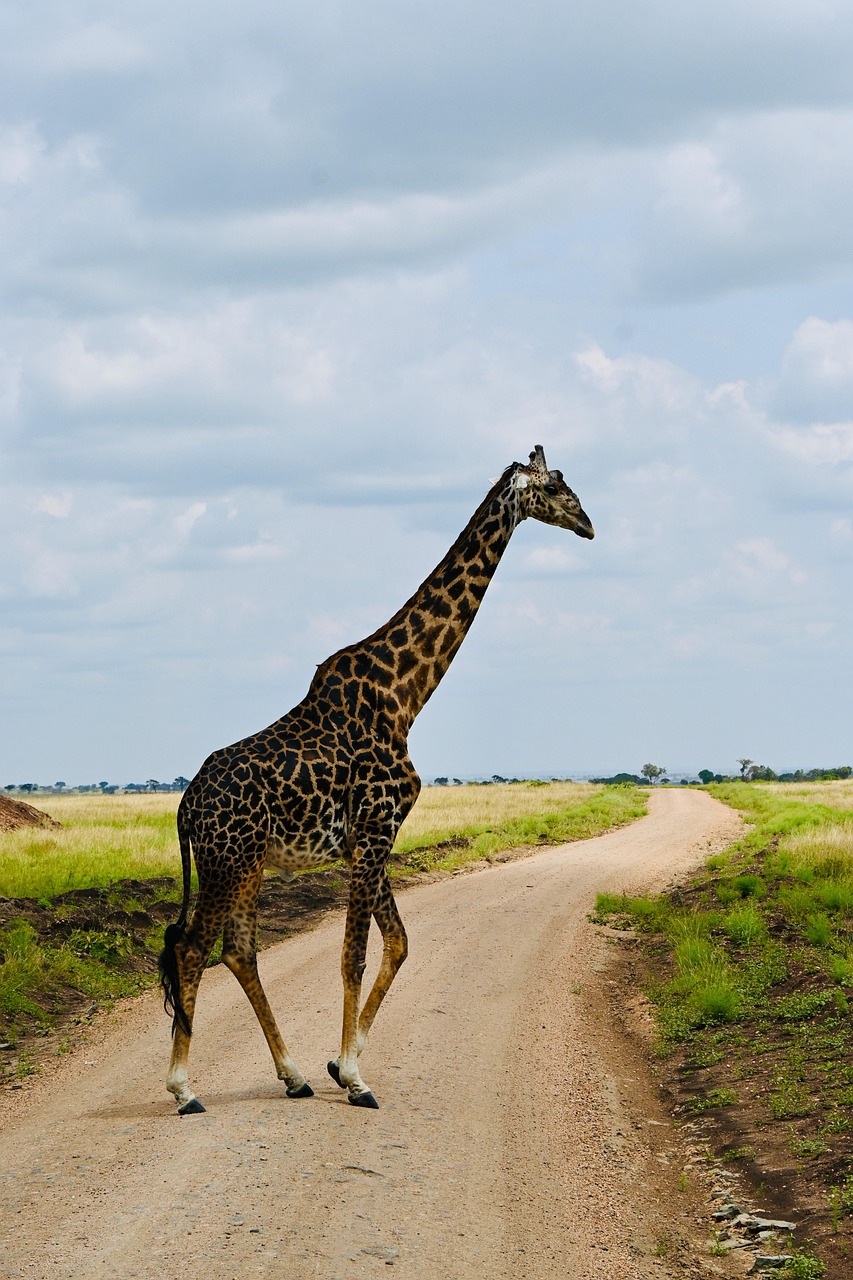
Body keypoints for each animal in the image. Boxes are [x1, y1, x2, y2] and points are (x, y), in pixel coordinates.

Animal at [159, 446, 594, 1113]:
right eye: (556, 488)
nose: (589, 525)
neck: (405, 695)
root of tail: (185, 804)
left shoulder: (369, 839)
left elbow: (398, 943)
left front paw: (339, 1065)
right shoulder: (373, 831)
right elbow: (354, 958)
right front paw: (357, 1079)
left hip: (246, 864)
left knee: (237, 949)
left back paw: (294, 1075)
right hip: (227, 862)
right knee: (191, 947)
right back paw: (184, 1089)